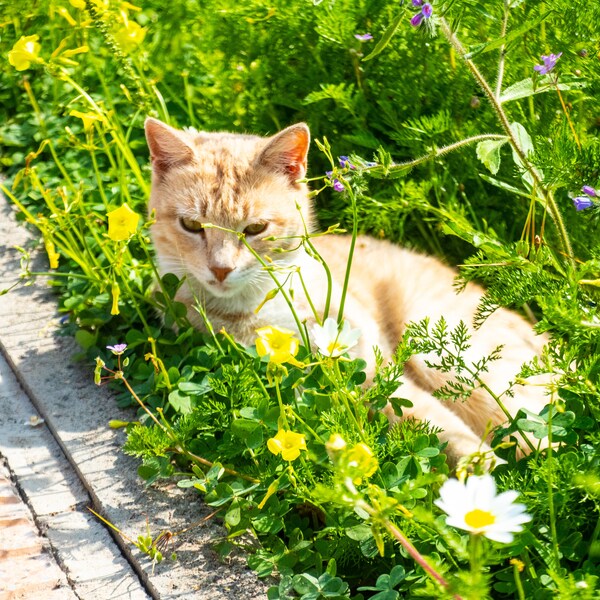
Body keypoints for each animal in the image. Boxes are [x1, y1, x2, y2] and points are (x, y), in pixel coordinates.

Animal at [144, 117, 548, 464]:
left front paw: (476, 476)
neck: (261, 303)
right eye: (191, 225)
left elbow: (436, 421)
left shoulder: (375, 371)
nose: (221, 268)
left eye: (255, 228)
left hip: (443, 354)